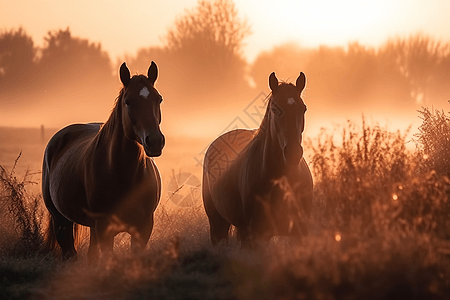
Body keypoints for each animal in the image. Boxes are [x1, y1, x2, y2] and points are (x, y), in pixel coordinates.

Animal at [41, 61, 165, 260]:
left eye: (158, 99)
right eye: (128, 101)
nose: (154, 141)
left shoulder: (144, 227)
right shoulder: (105, 228)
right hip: (61, 221)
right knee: (70, 252)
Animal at [203, 71, 312, 247]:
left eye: (303, 108)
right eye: (274, 109)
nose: (293, 153)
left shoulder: (299, 232)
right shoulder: (256, 235)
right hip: (218, 225)